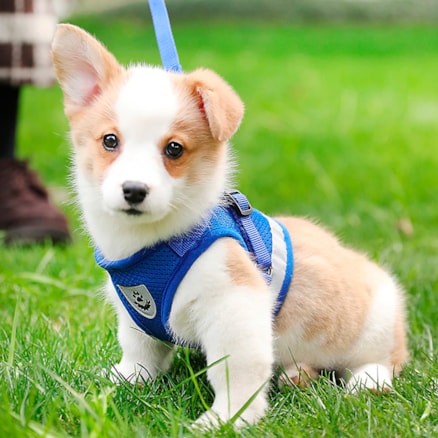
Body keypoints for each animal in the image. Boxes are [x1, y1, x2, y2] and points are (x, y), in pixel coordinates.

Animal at [51, 24, 408, 428]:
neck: (155, 243)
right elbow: (139, 350)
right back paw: (297, 375)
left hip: (377, 322)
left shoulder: (232, 306)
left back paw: (366, 380)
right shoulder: (135, 316)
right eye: (110, 140)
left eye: (174, 149)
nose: (134, 190)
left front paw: (225, 419)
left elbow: (235, 371)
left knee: (386, 359)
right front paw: (126, 380)